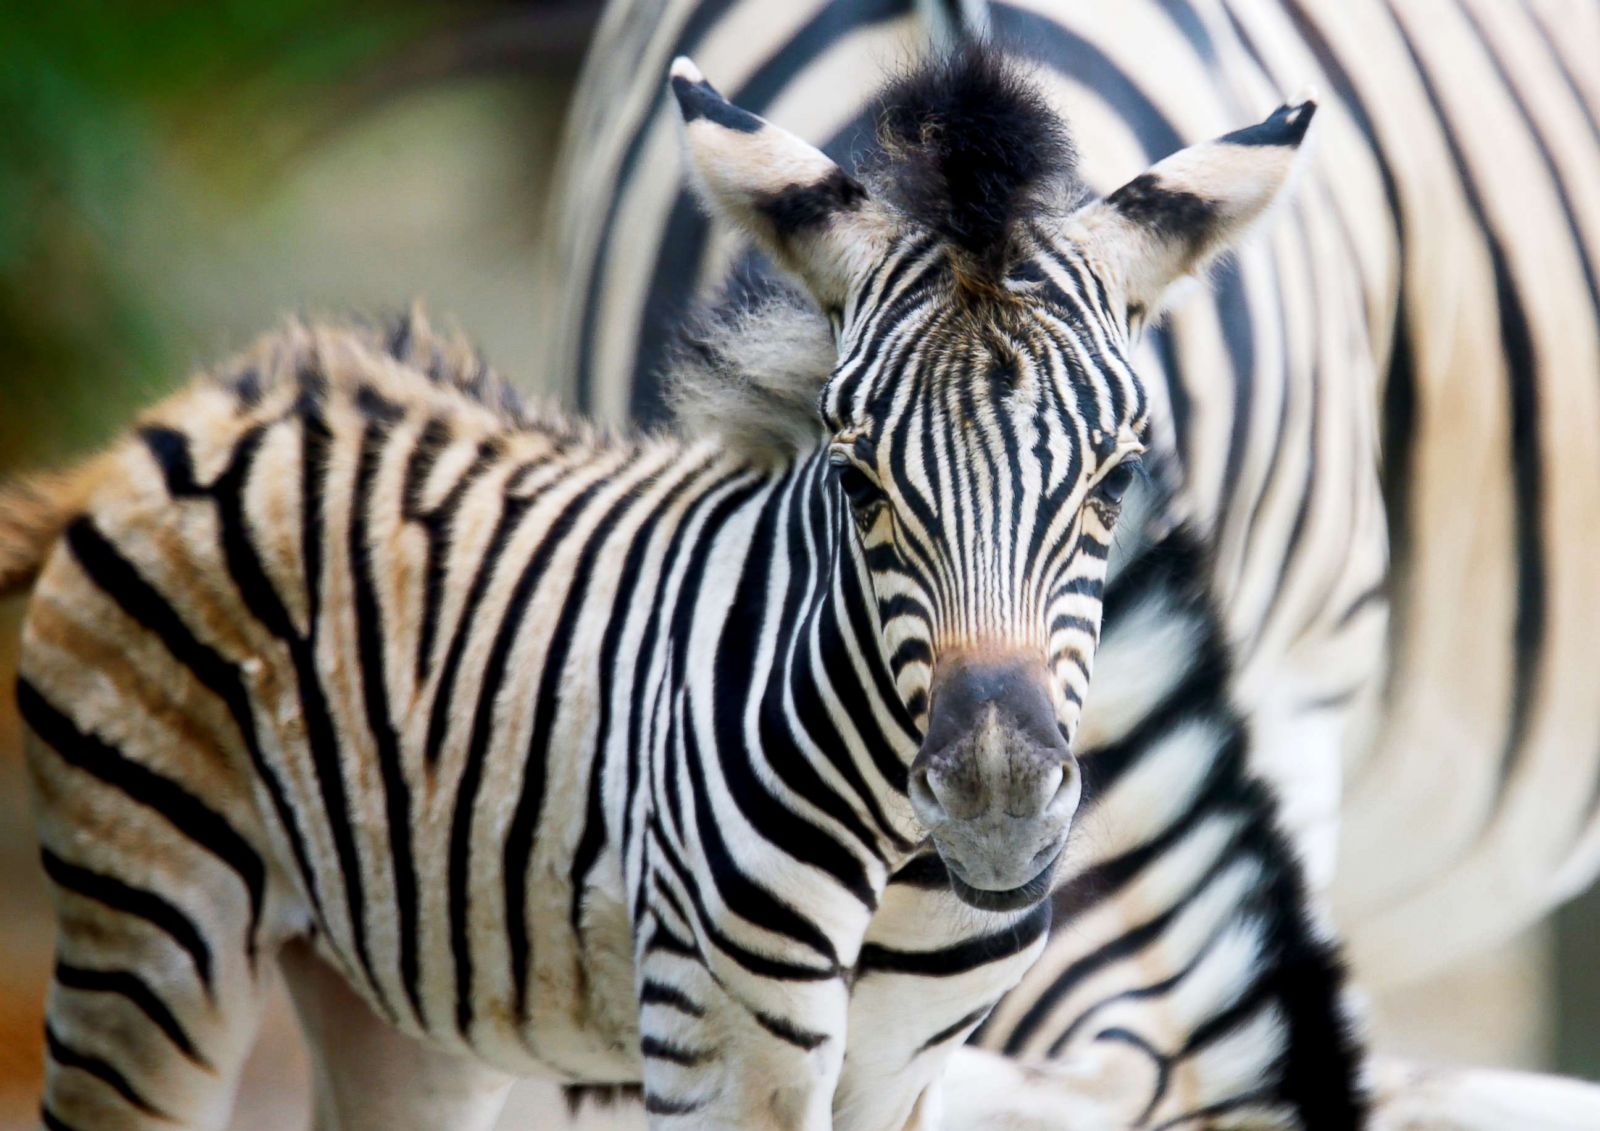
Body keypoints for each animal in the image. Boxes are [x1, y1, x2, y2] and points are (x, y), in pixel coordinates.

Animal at [0, 48, 1318, 1131]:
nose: (995, 802)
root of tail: (196, 409)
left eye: (1118, 476)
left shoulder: (903, 1066)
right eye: (856, 479)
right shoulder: (728, 1038)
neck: (901, 864)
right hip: (148, 920)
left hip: (397, 997)